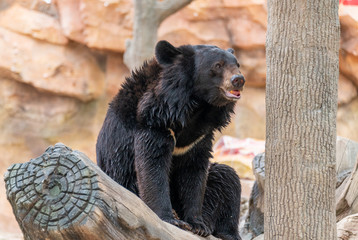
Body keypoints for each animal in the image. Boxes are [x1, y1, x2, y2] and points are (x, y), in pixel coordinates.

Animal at [96, 40, 245, 240]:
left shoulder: (199, 138)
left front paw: (198, 225)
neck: (196, 108)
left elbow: (194, 172)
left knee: (228, 178)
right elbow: (153, 167)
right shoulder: (153, 122)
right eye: (218, 65)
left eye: (237, 64)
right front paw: (171, 219)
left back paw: (227, 233)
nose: (239, 79)